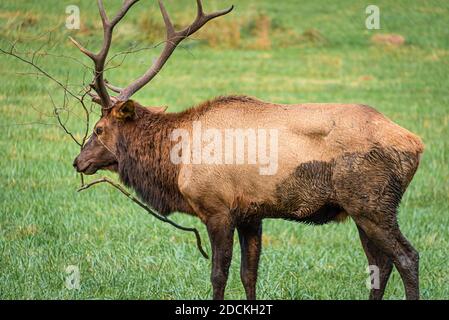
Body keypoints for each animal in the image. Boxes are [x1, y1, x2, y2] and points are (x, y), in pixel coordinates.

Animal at [71, 0, 424, 300]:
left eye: (98, 129)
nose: (78, 161)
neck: (176, 163)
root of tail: (416, 144)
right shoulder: (251, 214)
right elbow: (249, 274)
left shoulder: (217, 209)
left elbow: (219, 275)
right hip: (361, 210)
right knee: (381, 264)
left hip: (371, 203)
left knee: (407, 257)